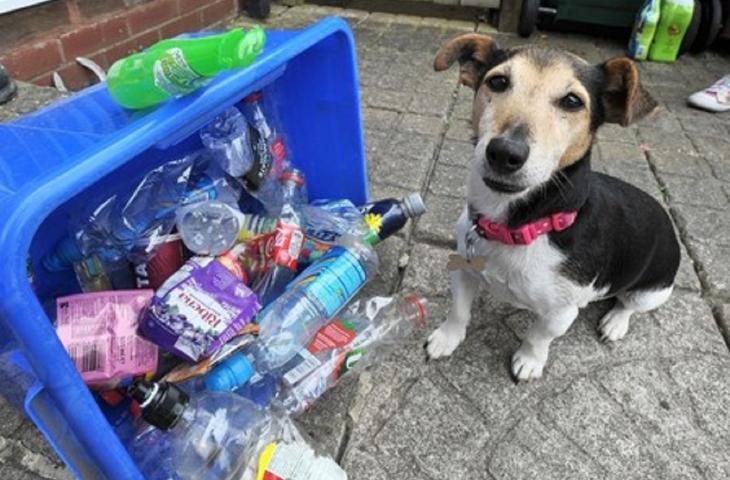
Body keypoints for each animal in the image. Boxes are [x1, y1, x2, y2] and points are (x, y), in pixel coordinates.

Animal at [424, 33, 680, 380]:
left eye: (572, 101)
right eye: (498, 82)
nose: (505, 153)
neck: (520, 225)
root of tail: (665, 216)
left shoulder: (561, 312)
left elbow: (538, 336)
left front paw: (529, 361)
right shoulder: (463, 268)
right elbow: (458, 311)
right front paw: (446, 338)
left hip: (653, 291)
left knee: (628, 304)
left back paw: (615, 322)